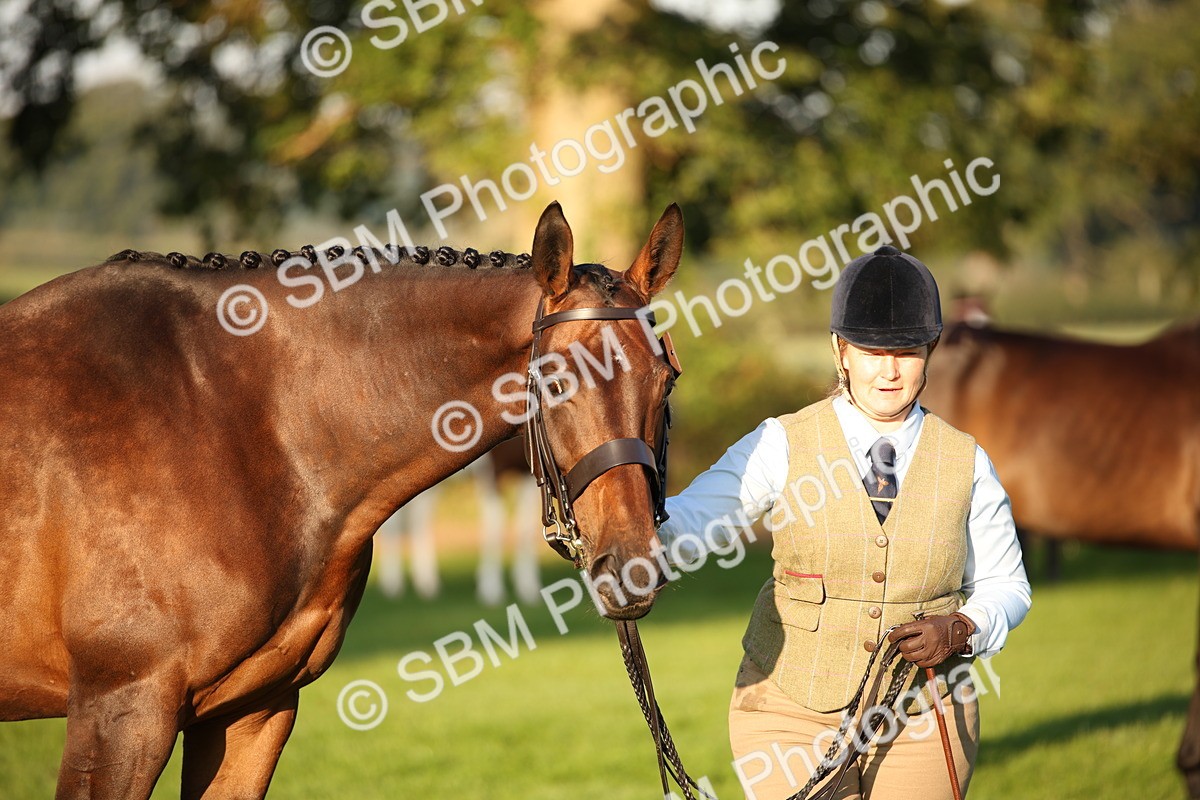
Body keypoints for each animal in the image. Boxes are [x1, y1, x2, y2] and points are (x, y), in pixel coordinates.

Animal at [0, 201, 684, 799]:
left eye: (666, 379)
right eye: (557, 381)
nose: (632, 567)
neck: (231, 419)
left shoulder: (253, 710)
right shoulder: (120, 711)